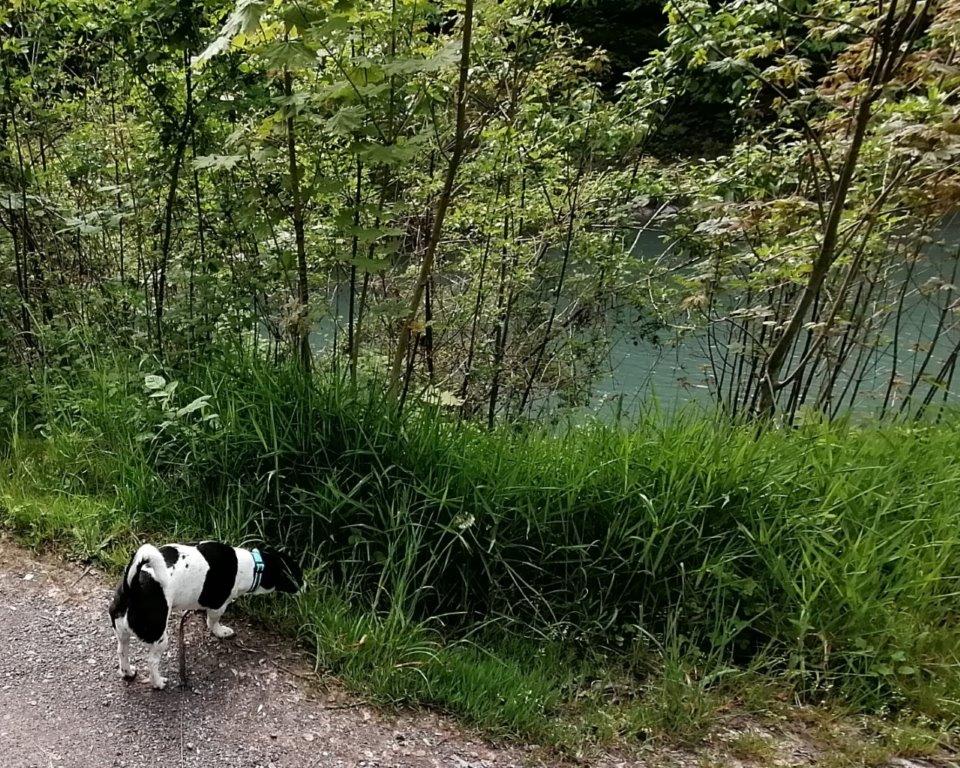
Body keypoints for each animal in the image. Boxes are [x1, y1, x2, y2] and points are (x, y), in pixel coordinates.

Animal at [109, 541, 302, 689]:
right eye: (297, 575)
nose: (305, 585)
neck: (251, 566)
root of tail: (132, 587)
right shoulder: (219, 605)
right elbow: (213, 621)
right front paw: (221, 631)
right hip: (158, 636)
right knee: (152, 662)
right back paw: (158, 682)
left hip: (122, 633)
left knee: (122, 651)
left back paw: (127, 672)